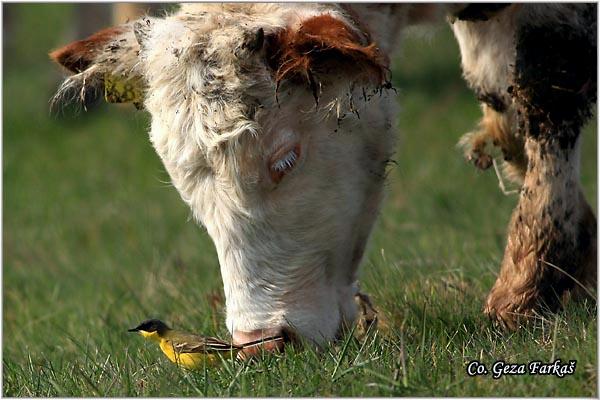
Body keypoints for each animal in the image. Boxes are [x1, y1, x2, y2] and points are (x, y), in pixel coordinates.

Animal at [50, 2, 596, 354]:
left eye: (286, 159)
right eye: (186, 187)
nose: (259, 345)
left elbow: (543, 89)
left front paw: (527, 288)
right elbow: (502, 105)